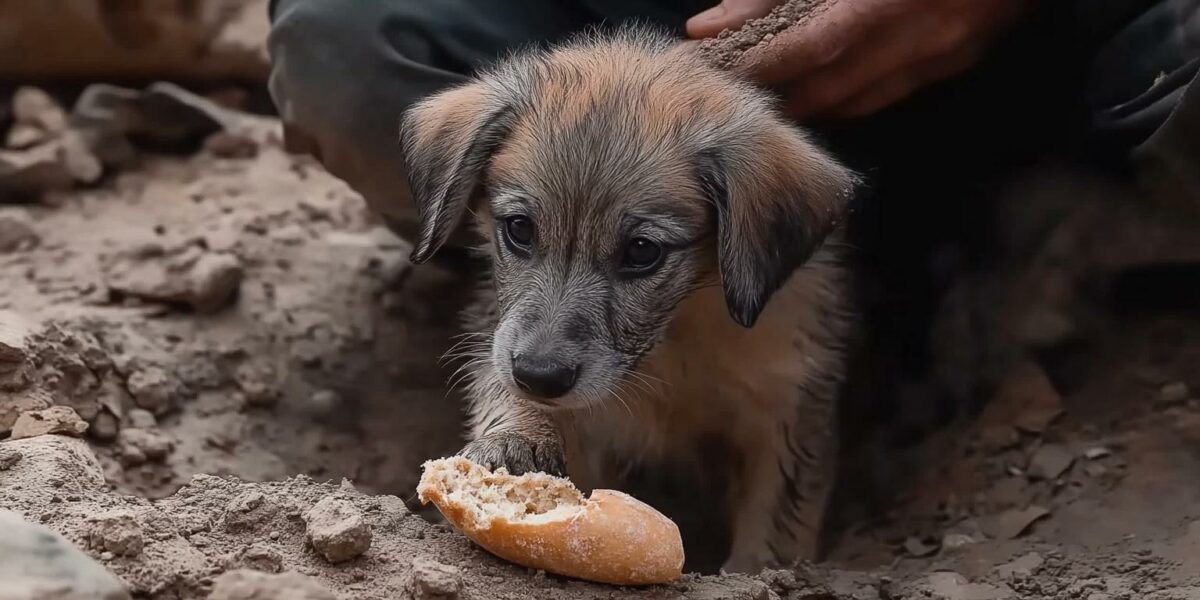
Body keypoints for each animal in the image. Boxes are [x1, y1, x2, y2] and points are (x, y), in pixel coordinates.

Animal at [398, 25, 859, 573]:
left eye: (641, 251)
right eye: (519, 229)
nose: (539, 375)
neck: (673, 337)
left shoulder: (786, 401)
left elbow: (776, 520)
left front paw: (759, 575)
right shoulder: (503, 336)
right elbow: (503, 392)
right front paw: (515, 444)